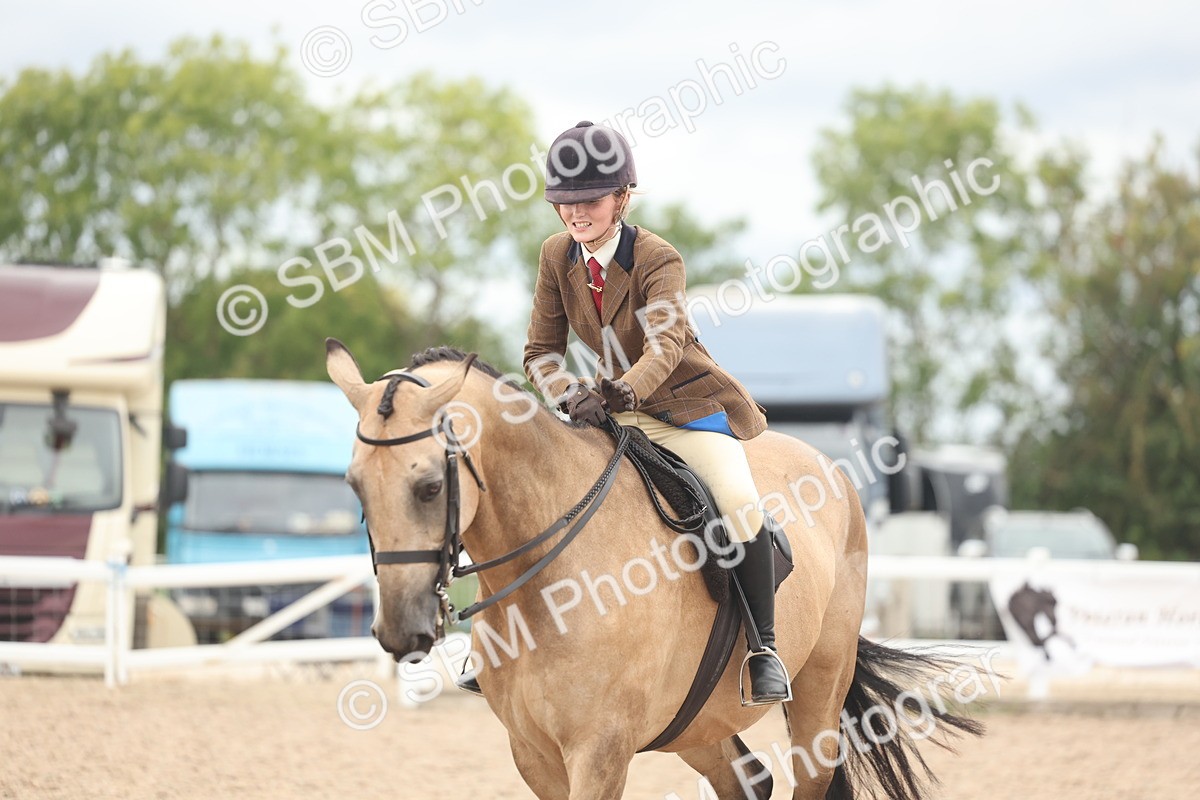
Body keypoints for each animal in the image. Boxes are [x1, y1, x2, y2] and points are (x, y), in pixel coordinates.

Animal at [325, 340, 981, 799]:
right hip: (694, 722)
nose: (399, 632)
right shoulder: (534, 754)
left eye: (430, 487)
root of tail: (833, 470)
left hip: (818, 693)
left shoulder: (600, 752)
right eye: (354, 486)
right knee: (748, 780)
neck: (546, 588)